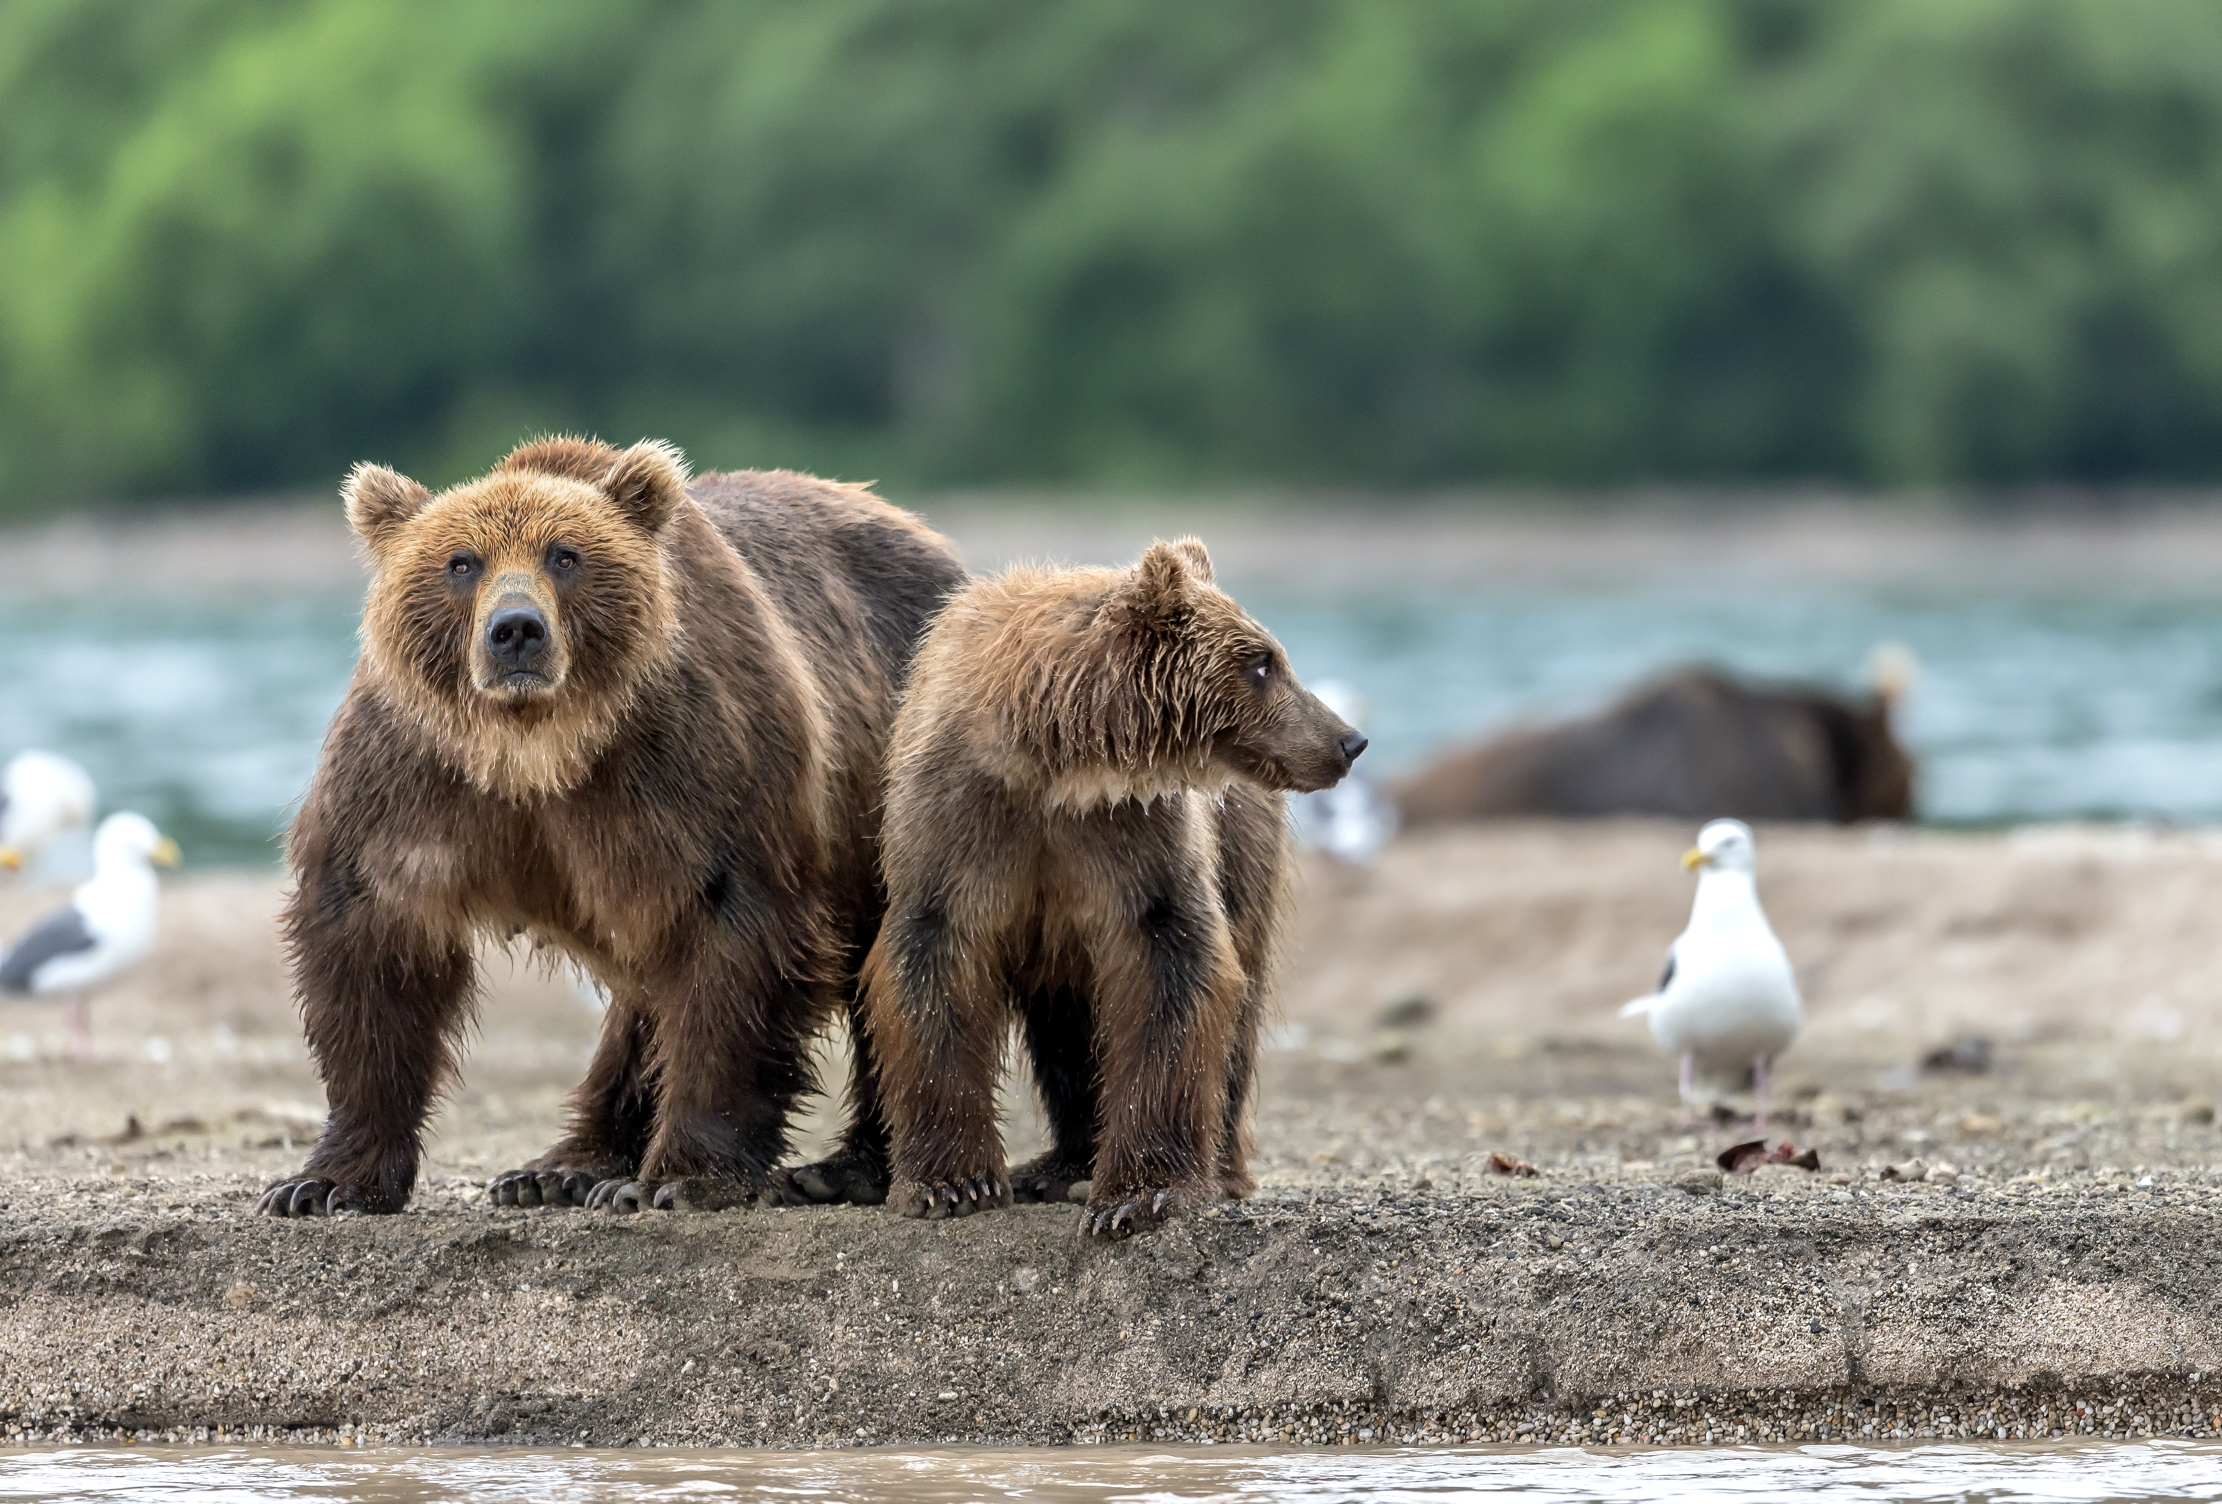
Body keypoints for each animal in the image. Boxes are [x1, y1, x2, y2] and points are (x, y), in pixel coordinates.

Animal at [256, 436, 966, 1217]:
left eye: (564, 556)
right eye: (461, 562)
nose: (516, 631)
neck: (536, 749)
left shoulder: (700, 765)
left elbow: (735, 939)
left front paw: (682, 1177)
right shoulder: (410, 775)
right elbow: (371, 943)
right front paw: (322, 1182)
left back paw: (850, 1165)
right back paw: (558, 1168)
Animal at [859, 539, 1365, 1239]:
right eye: (1262, 661)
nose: (1348, 739)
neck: (1054, 767)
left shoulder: (1137, 837)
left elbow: (1169, 961)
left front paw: (1138, 1194)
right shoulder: (958, 822)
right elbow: (933, 960)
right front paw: (951, 1182)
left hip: (1242, 851)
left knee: (1238, 1002)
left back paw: (1217, 1167)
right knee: (1067, 1022)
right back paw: (1059, 1164)